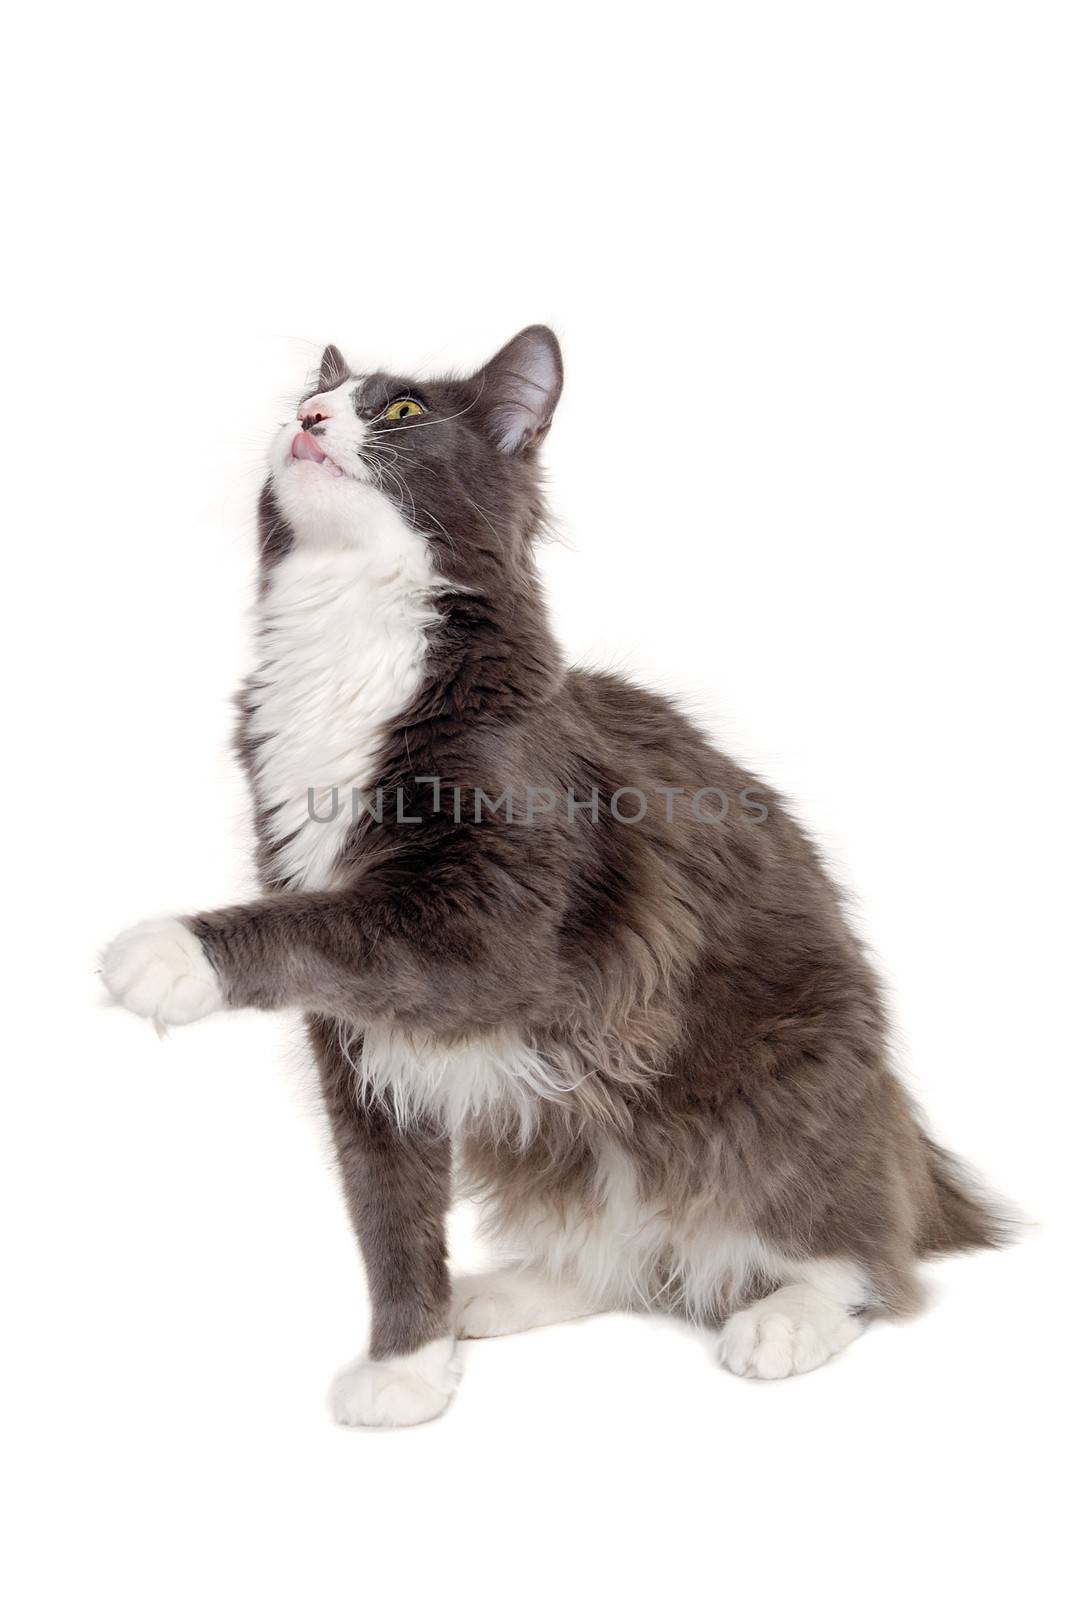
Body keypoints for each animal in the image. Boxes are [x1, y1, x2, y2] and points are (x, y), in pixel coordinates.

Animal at [102, 324, 1011, 1427]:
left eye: (399, 411)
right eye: (305, 402)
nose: (308, 419)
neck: (353, 635)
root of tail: (895, 1112)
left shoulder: (494, 930)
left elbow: (319, 926)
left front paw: (166, 953)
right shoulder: (361, 1038)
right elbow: (388, 1211)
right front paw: (410, 1364)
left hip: (771, 1098)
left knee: (858, 1250)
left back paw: (785, 1319)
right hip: (569, 1124)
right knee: (628, 1252)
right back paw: (498, 1294)